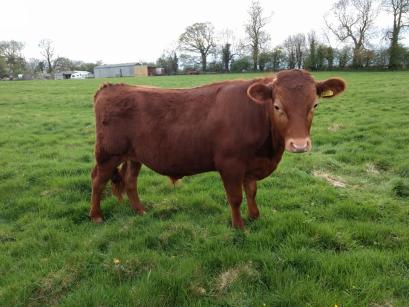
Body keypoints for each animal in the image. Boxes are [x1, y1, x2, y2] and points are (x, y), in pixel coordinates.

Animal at [88, 70, 344, 229]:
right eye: (277, 106)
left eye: (315, 105)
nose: (299, 144)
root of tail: (110, 87)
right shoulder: (230, 165)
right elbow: (235, 197)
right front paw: (239, 226)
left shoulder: (251, 166)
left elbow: (251, 192)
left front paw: (255, 217)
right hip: (108, 154)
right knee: (97, 181)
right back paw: (97, 216)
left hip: (134, 156)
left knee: (130, 181)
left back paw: (140, 211)